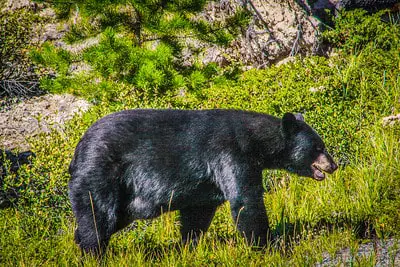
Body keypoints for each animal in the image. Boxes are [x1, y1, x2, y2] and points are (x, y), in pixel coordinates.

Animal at [69, 110, 338, 255]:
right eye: (318, 147)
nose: (333, 165)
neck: (256, 141)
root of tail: (78, 150)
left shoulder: (204, 186)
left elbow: (197, 215)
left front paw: (187, 246)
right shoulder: (231, 153)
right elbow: (245, 201)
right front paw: (268, 246)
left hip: (125, 201)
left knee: (102, 221)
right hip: (101, 175)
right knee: (97, 216)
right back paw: (93, 253)